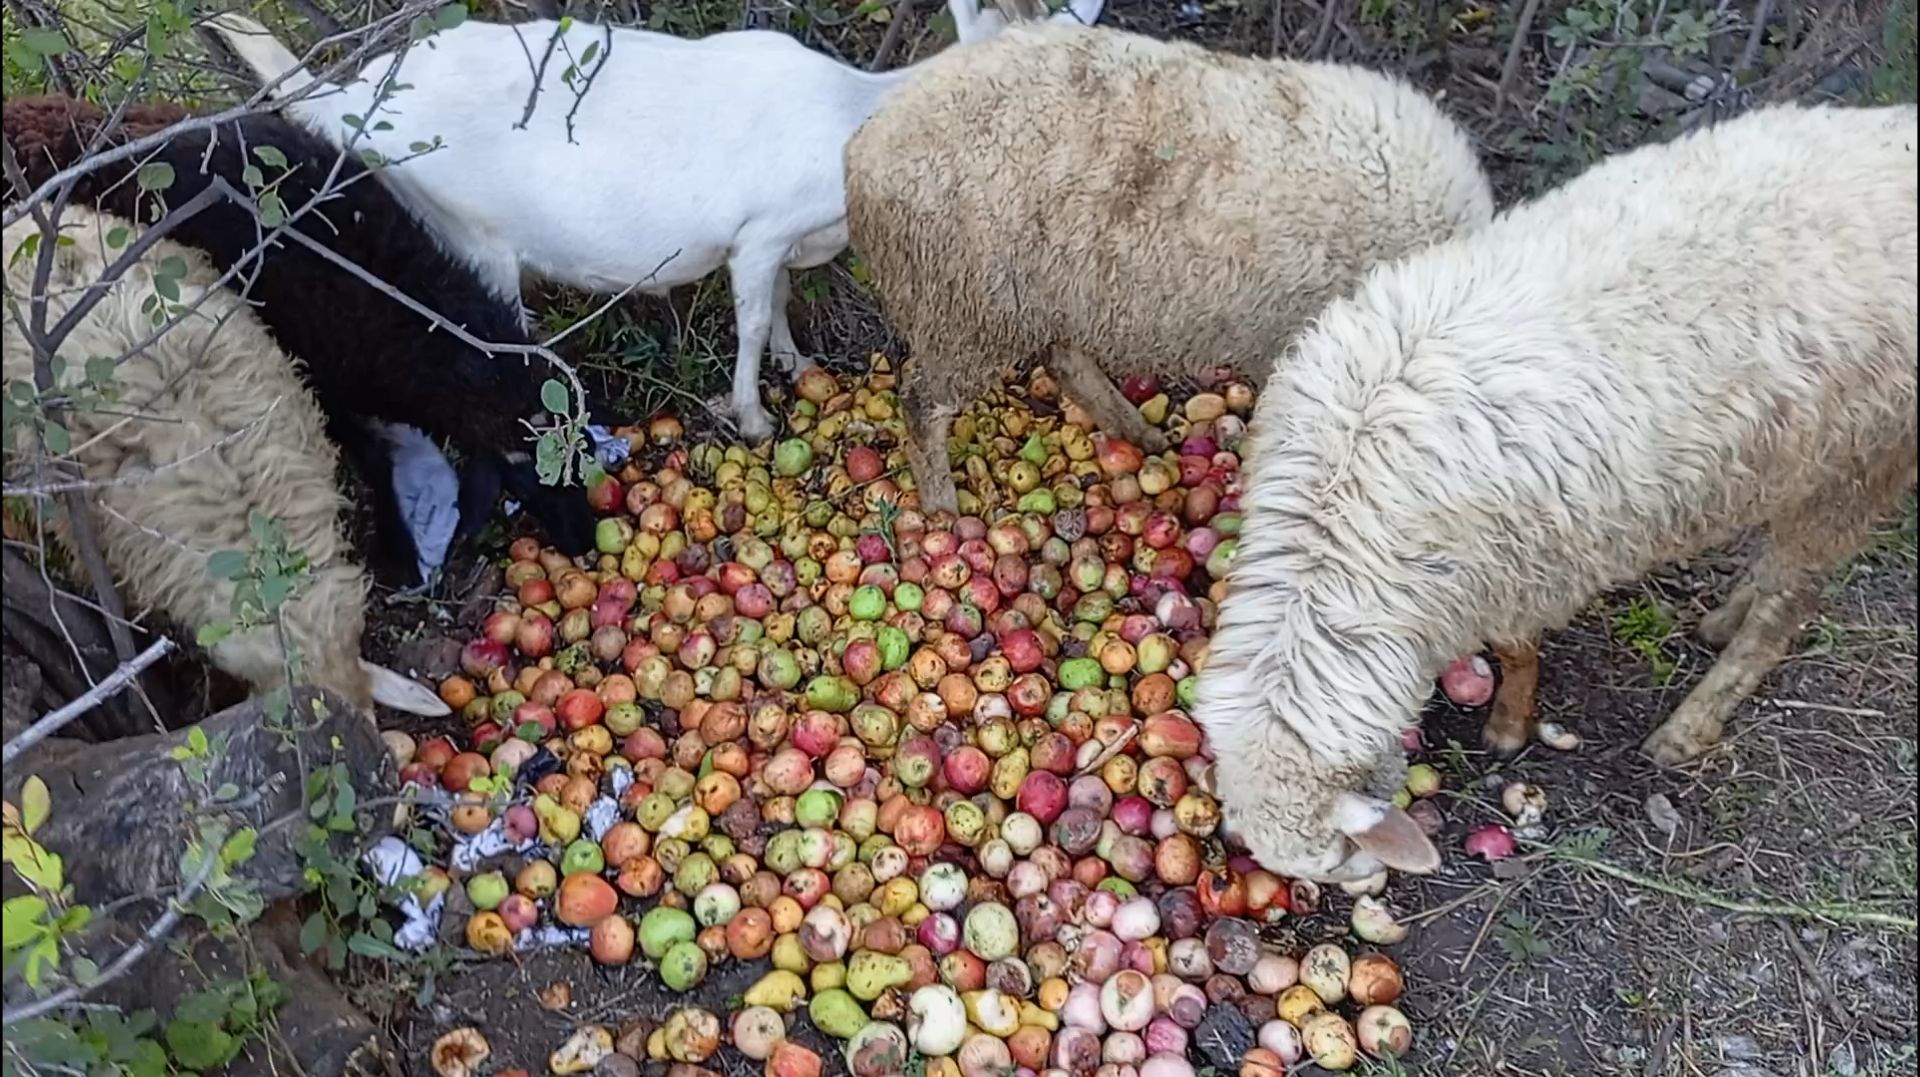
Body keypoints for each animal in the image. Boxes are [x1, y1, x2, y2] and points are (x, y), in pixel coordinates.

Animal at [205, 0, 1102, 445]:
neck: (855, 117)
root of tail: (351, 98)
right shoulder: (760, 228)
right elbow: (751, 316)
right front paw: (752, 414)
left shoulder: (777, 238)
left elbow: (779, 303)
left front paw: (798, 361)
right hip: (464, 228)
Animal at [842, 19, 1495, 513]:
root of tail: (865, 145)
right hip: (965, 310)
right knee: (923, 404)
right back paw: (942, 508)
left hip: (1041, 293)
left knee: (1064, 360)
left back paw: (1139, 432)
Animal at [1193, 103, 1917, 883]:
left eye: (1333, 862)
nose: (1366, 882)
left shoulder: (1517, 573)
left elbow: (1517, 653)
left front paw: (1509, 727)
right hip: (1804, 460)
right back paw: (1724, 616)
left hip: (1865, 457)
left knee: (1790, 605)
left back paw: (1692, 721)